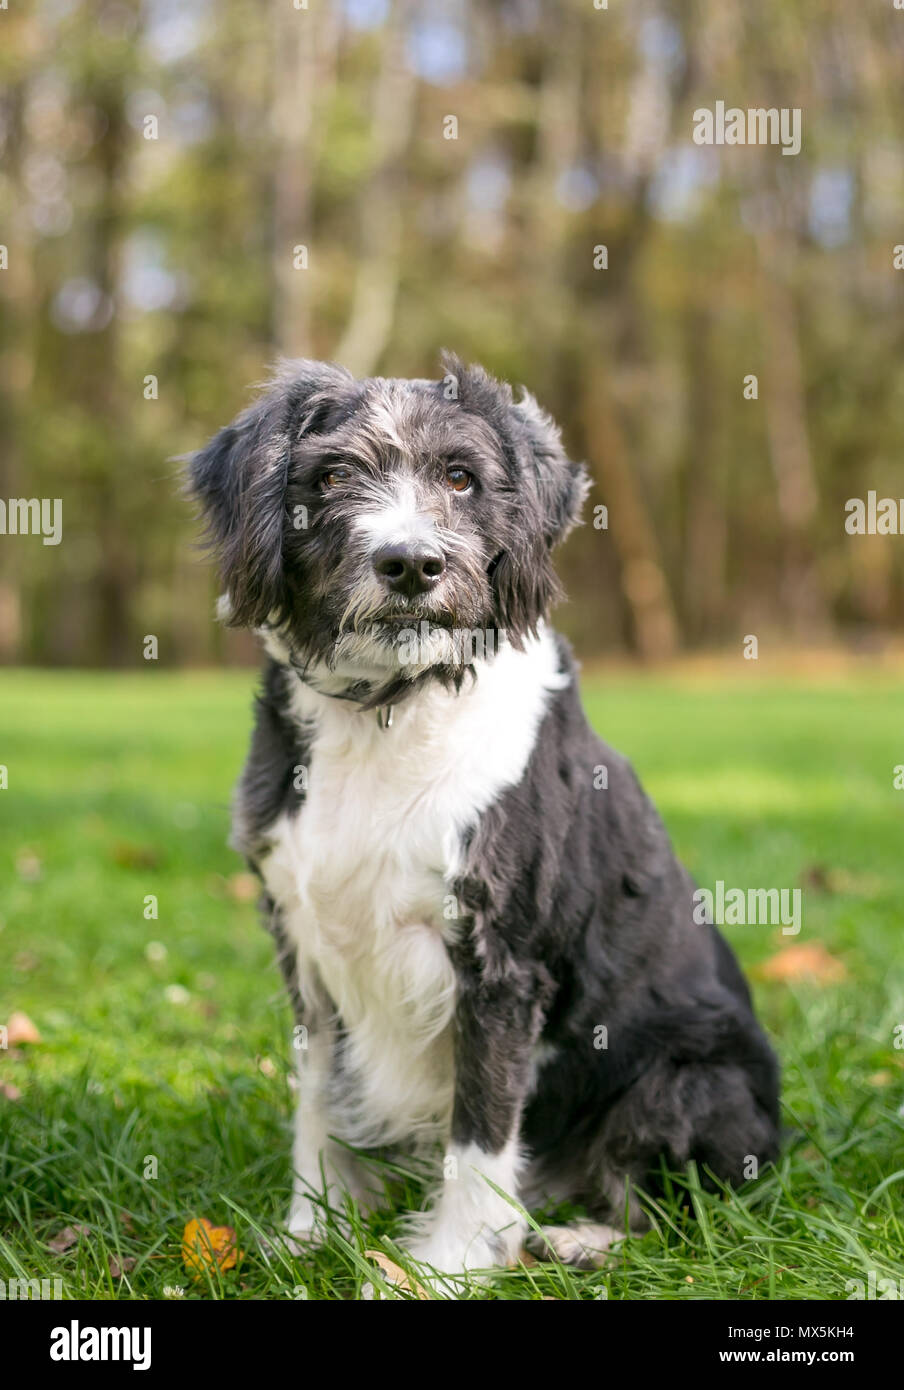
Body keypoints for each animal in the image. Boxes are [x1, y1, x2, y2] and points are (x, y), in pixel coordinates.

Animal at [186, 355, 778, 1278]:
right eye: (332, 476)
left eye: (461, 477)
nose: (410, 563)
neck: (392, 704)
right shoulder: (307, 945)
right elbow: (318, 1100)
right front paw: (312, 1228)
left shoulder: (501, 961)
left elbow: (481, 1128)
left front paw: (448, 1264)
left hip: (689, 1076)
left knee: (675, 1211)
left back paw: (579, 1236)